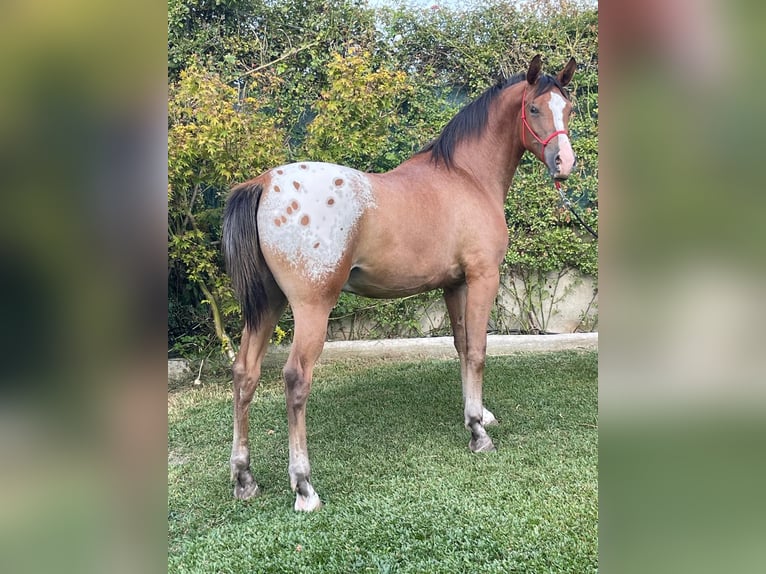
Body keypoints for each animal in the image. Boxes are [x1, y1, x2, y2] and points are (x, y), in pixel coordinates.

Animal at [223, 55, 577, 511]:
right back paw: (304, 486)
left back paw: (244, 478)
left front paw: (476, 414)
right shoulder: (483, 277)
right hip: (311, 308)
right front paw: (479, 432)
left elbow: (462, 346)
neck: (466, 176)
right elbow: (478, 350)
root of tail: (264, 183)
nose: (564, 163)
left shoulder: (455, 285)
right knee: (296, 379)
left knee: (244, 374)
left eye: (568, 108)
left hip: (268, 305)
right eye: (534, 108)